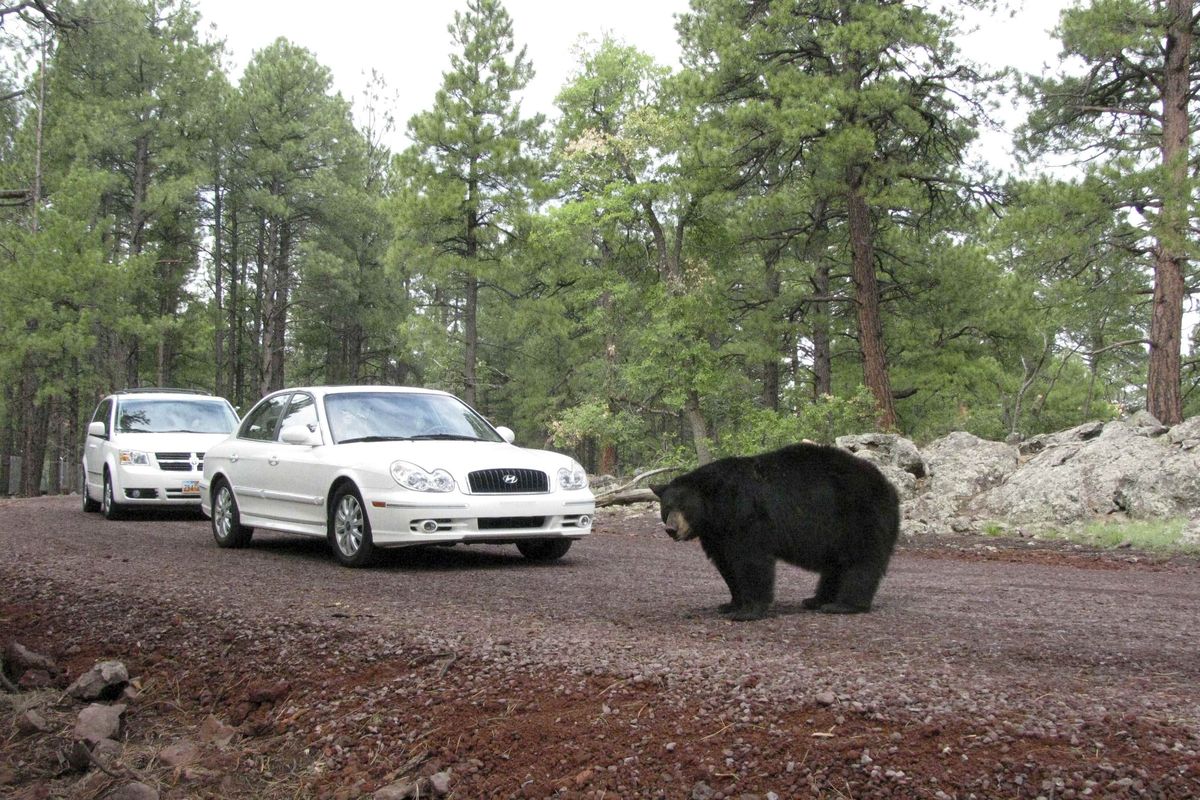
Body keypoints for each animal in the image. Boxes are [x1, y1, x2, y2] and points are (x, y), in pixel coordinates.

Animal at [651, 443, 900, 621]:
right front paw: (731, 603)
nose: (671, 529)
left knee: (861, 560)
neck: (718, 509)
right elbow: (726, 564)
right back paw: (816, 599)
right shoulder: (717, 533)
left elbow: (751, 561)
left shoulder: (747, 516)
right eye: (667, 508)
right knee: (836, 564)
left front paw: (748, 611)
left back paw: (844, 605)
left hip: (858, 515)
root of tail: (888, 486)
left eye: (684, 507)